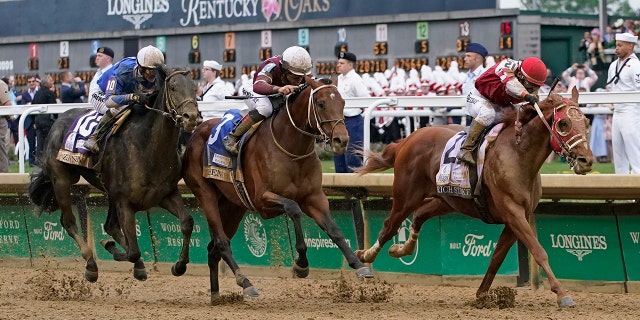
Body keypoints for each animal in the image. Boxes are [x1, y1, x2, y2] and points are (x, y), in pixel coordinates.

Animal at [27, 65, 199, 282]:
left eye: (194, 87)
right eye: (173, 87)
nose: (191, 117)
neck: (147, 147)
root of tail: (57, 122)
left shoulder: (165, 194)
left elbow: (187, 222)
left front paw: (179, 265)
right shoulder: (125, 202)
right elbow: (133, 251)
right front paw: (112, 249)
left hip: (109, 192)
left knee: (110, 226)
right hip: (62, 180)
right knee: (69, 222)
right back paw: (91, 264)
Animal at [181, 76, 376, 304]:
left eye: (343, 103)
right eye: (321, 104)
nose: (341, 140)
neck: (291, 148)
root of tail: (197, 132)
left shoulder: (314, 198)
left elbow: (335, 231)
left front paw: (360, 265)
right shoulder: (262, 200)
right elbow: (293, 209)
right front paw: (301, 264)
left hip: (232, 206)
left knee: (213, 250)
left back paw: (216, 296)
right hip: (206, 194)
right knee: (221, 243)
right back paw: (246, 283)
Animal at [356, 87, 596, 308]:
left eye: (586, 121)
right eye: (563, 123)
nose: (586, 161)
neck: (519, 154)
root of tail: (407, 140)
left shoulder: (517, 217)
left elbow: (497, 257)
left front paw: (482, 295)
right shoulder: (513, 212)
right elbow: (538, 251)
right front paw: (562, 294)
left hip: (447, 200)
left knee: (420, 215)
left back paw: (401, 249)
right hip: (406, 196)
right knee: (389, 226)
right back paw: (365, 256)